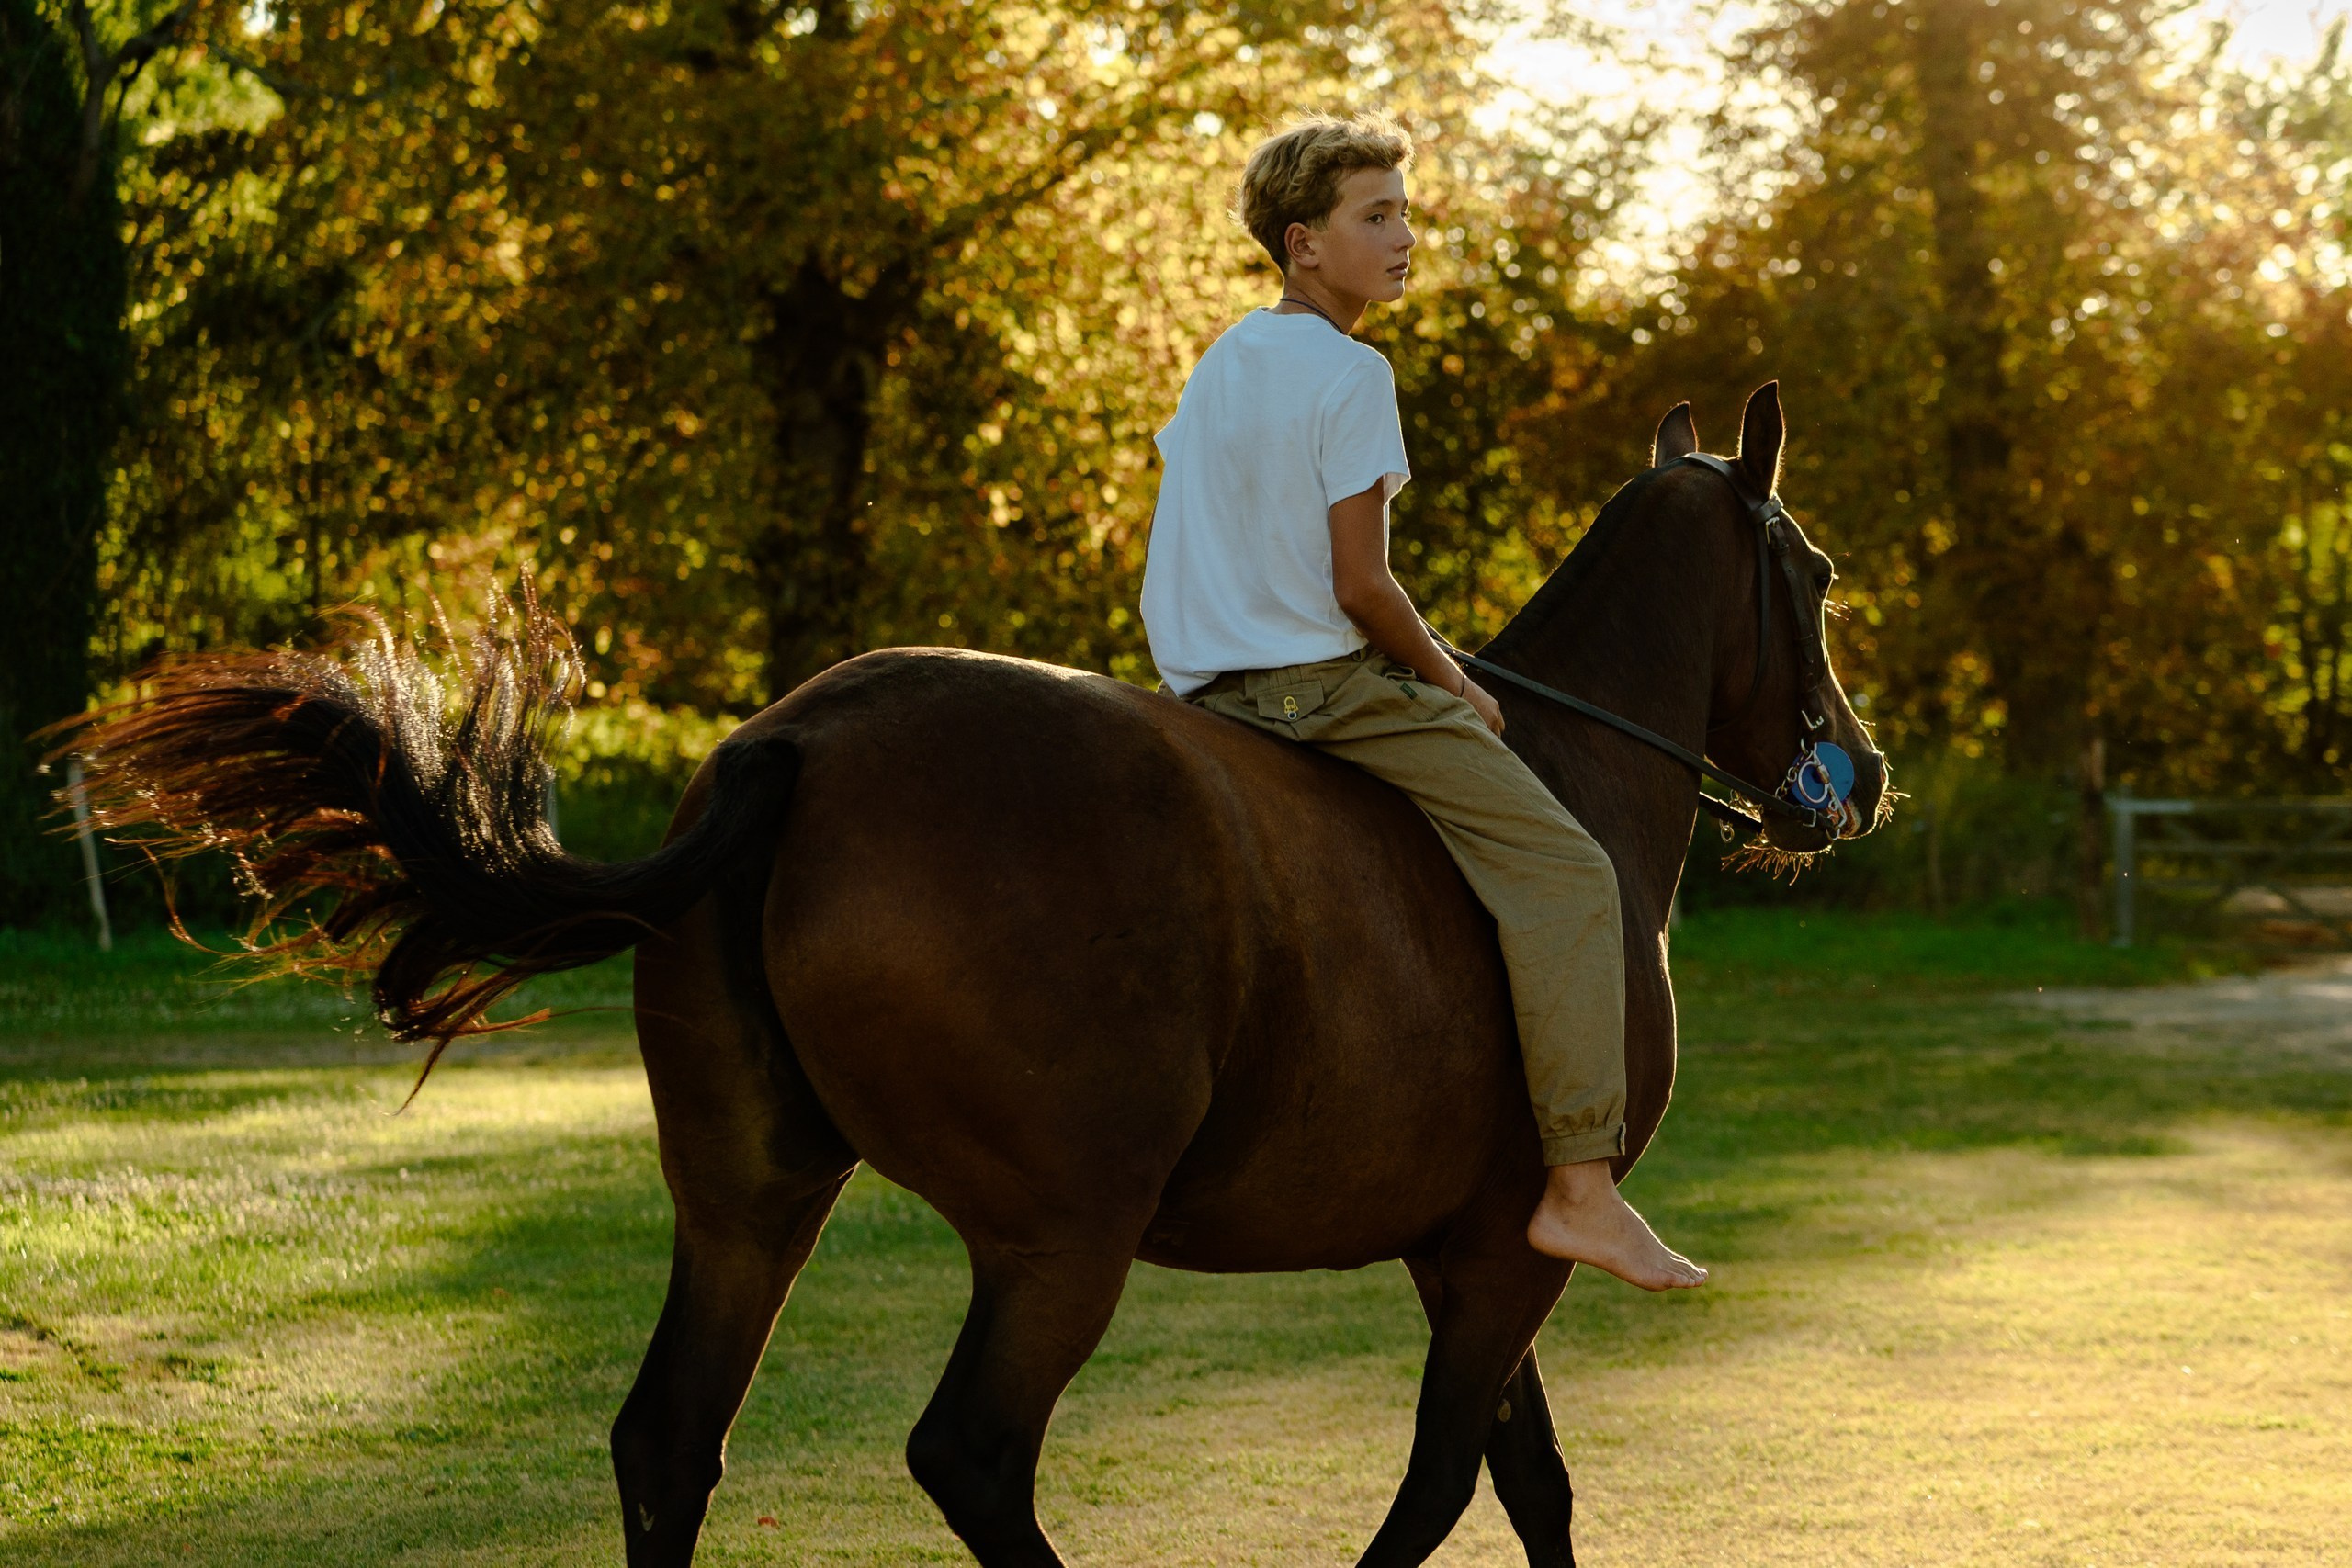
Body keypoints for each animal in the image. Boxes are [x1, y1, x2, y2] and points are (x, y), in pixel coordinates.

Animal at [64, 382, 1889, 1567]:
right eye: (1811, 573)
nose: (1854, 777)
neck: (1574, 782)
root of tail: (800, 742)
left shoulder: (1469, 1253)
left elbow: (1530, 1484)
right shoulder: (1509, 1251)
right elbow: (1452, 1482)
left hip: (752, 1200)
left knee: (667, 1443)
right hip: (1058, 1240)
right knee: (973, 1457)